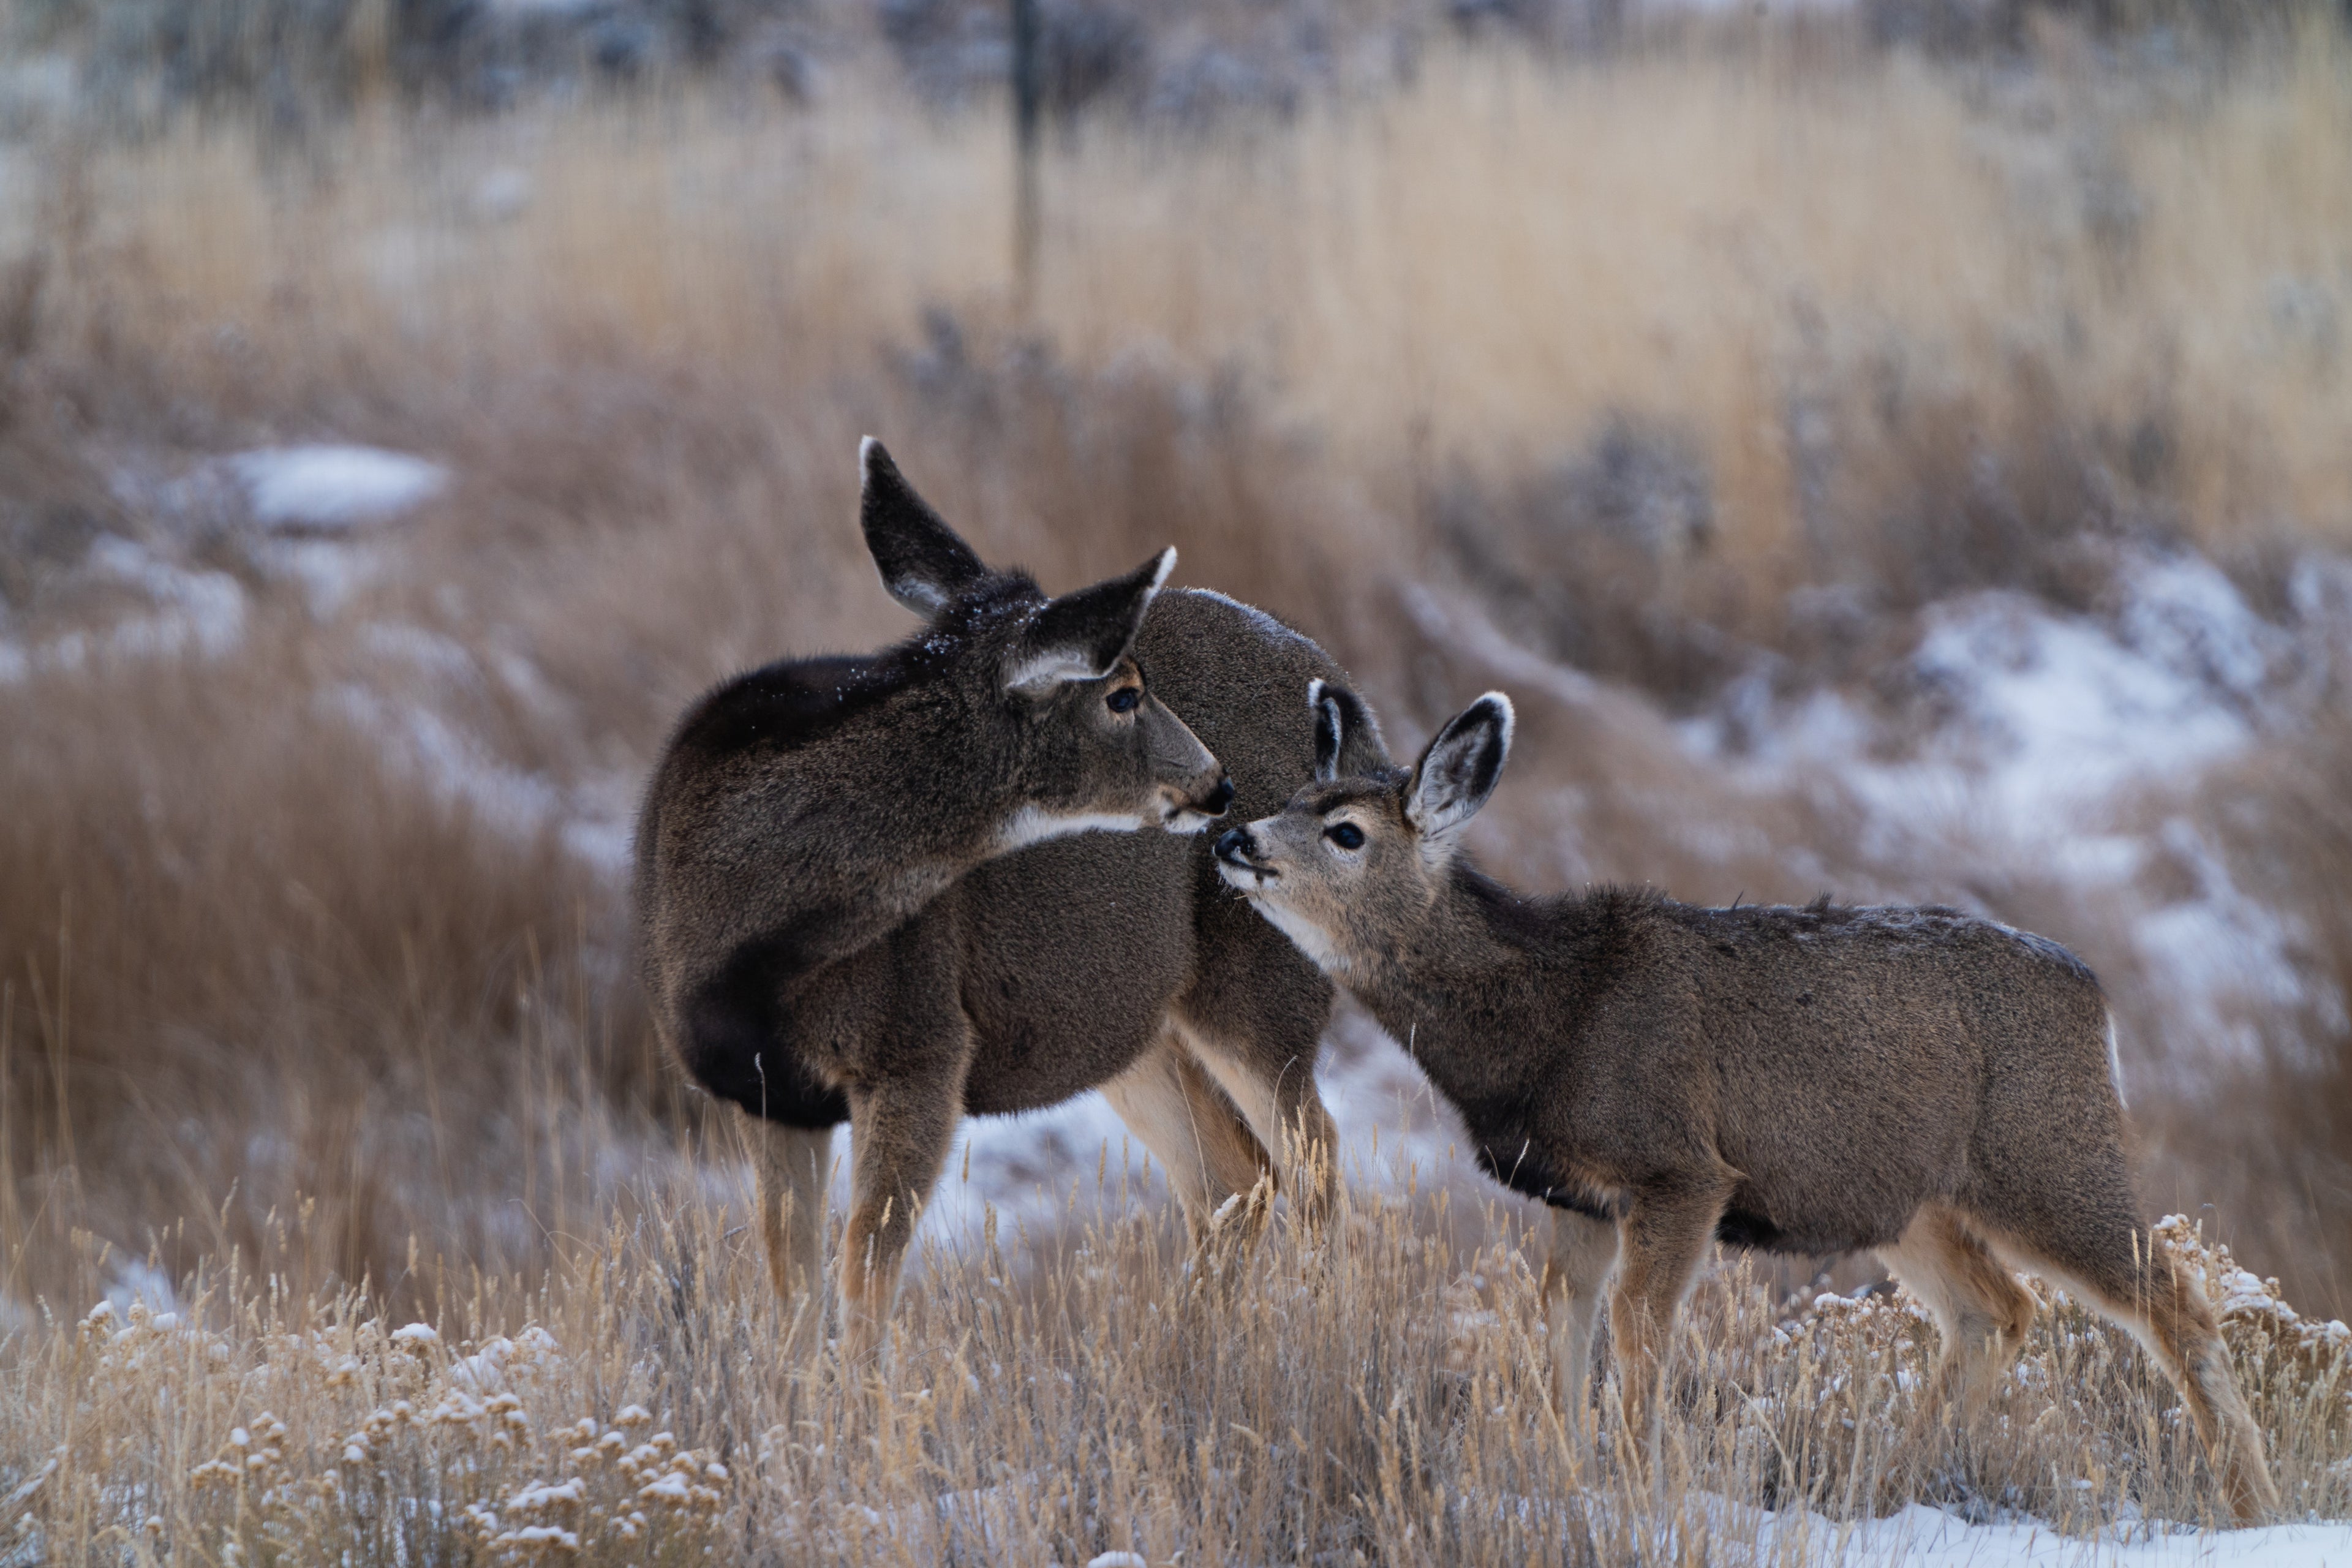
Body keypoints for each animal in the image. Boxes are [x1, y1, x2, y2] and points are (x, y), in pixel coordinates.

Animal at [634, 439, 1348, 1357]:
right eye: (1122, 693)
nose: (1215, 784)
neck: (746, 946)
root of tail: (1337, 688)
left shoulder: (921, 1044)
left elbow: (864, 1275)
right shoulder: (765, 1090)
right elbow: (790, 1283)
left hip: (1264, 974)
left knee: (1314, 1161)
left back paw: (1322, 1339)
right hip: (1129, 1022)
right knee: (1234, 1181)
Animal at [1210, 679, 2280, 1524]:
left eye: (1346, 832)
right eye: (1296, 796)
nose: (1230, 836)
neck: (1549, 1017)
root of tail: (2096, 999)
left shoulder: (1677, 1166)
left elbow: (1640, 1326)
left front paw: (1635, 1482)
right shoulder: (1574, 1193)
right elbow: (1563, 1321)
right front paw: (1565, 1469)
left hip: (2047, 1155)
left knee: (2176, 1302)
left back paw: (2251, 1504)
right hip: (1906, 1197)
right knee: (1999, 1309)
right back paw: (1896, 1482)